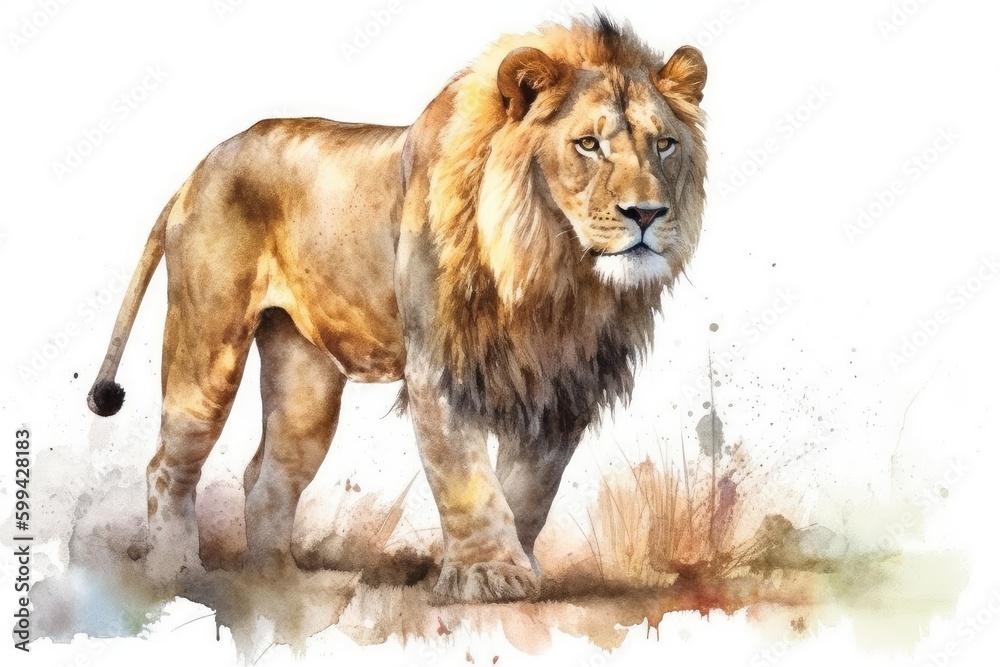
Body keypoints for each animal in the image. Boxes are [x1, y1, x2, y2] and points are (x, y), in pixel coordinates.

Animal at [86, 14, 708, 603]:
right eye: (588, 144)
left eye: (663, 145)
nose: (647, 214)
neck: (552, 272)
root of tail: (199, 169)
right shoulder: (439, 365)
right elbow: (466, 477)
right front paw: (488, 575)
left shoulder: (561, 383)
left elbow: (531, 488)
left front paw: (521, 567)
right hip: (206, 348)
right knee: (169, 466)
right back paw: (175, 572)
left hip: (304, 383)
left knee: (267, 478)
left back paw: (274, 583)